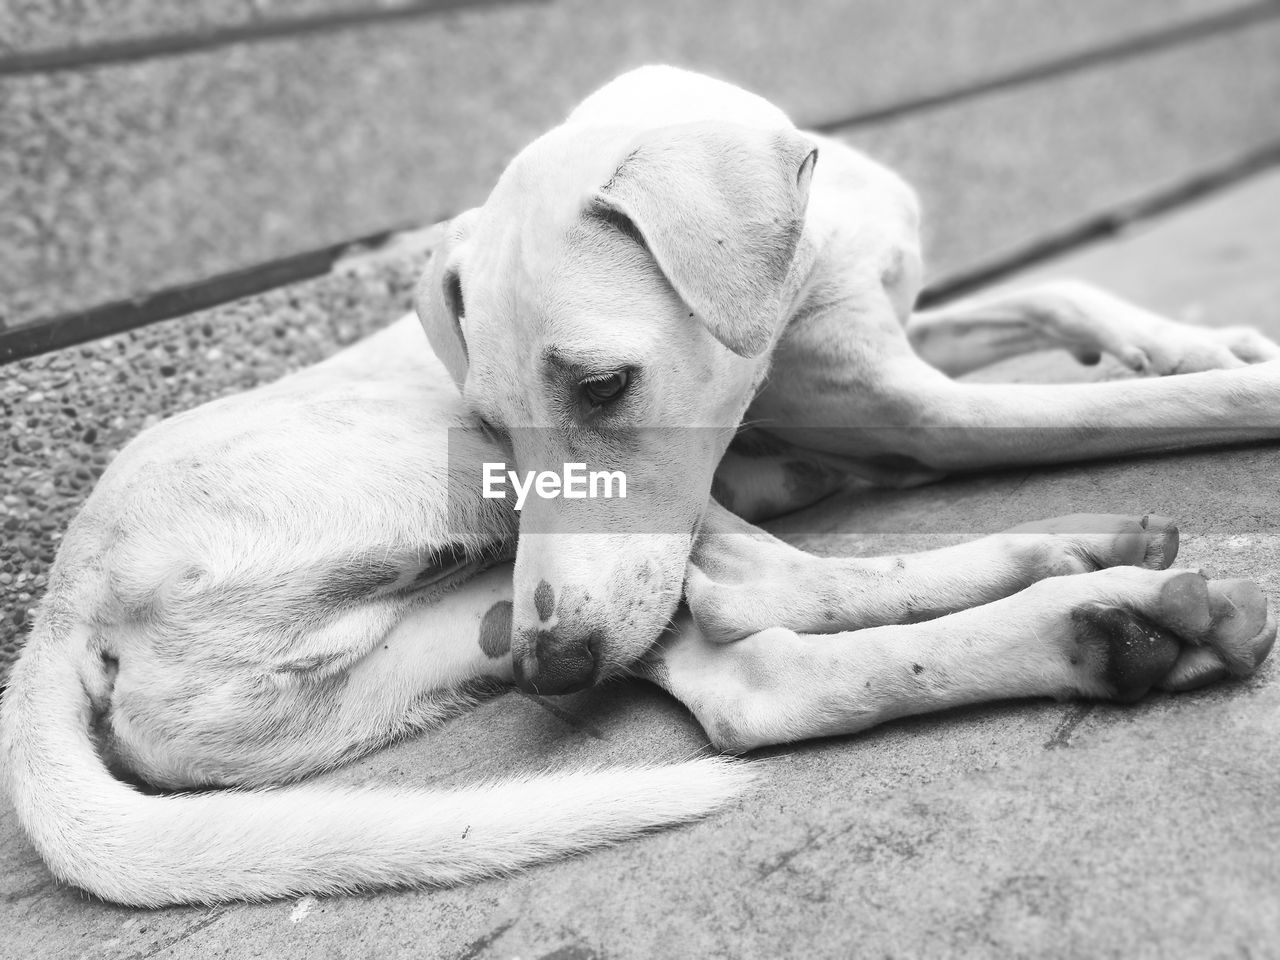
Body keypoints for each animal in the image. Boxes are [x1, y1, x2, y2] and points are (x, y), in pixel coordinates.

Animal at [2, 67, 1280, 911]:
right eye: (497, 421)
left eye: (603, 383)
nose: (552, 669)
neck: (811, 247)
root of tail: (64, 602)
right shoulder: (914, 414)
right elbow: (1170, 404)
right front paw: (1225, 375)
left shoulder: (901, 348)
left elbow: (1063, 291)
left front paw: (1193, 337)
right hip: (462, 494)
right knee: (769, 589)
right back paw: (1079, 571)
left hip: (455, 637)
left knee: (748, 679)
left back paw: (1099, 626)